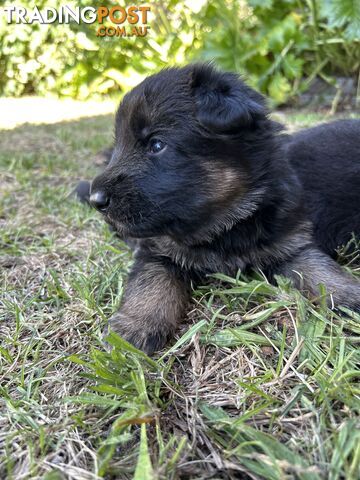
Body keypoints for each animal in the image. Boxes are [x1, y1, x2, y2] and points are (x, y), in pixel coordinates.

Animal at [85, 63, 360, 352]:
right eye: (120, 146)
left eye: (157, 145)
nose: (96, 200)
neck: (223, 225)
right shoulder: (156, 251)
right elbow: (150, 282)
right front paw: (133, 326)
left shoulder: (289, 243)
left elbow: (318, 268)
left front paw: (349, 295)